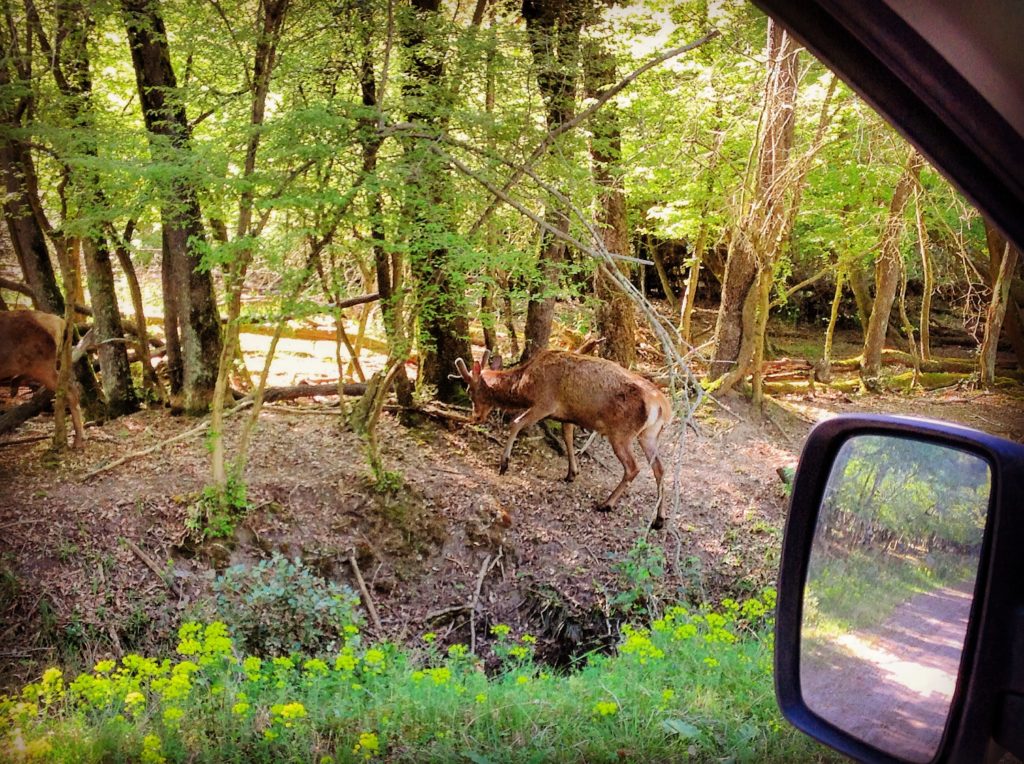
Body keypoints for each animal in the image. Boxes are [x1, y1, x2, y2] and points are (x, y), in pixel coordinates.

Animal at [456, 348, 671, 528]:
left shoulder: (545, 402)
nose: (476, 417)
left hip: (621, 432)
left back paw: (606, 504)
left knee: (633, 467)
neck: (524, 385)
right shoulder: (567, 415)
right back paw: (659, 519)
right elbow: (567, 435)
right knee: (659, 469)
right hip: (649, 434)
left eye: (470, 391)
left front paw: (504, 464)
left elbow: (515, 423)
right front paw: (571, 473)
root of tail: (662, 405)